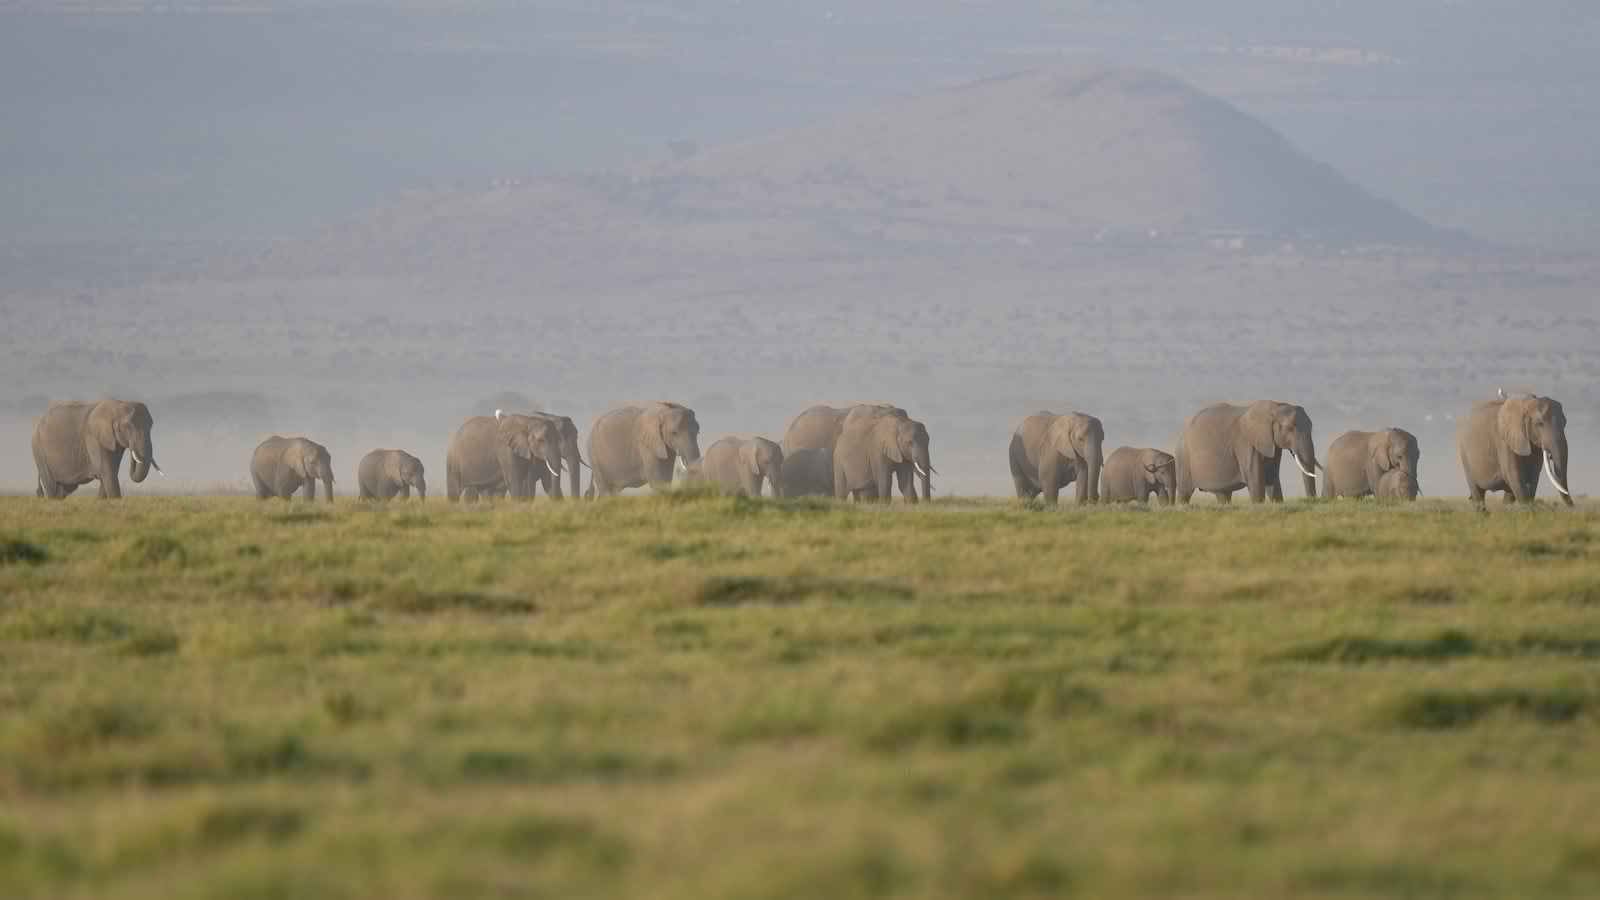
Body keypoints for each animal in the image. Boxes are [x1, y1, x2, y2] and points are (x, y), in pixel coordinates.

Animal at [32, 399, 162, 499]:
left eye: (151, 426)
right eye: (128, 426)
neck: (117, 405)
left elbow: (110, 471)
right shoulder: (93, 437)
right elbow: (106, 470)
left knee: (64, 489)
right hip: (39, 451)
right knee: (51, 486)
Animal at [1174, 401, 1320, 504]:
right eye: (1289, 428)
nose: (1311, 500)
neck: (1275, 406)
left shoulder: (1271, 444)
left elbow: (1272, 478)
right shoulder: (1246, 444)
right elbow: (1255, 479)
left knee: (1223, 494)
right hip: (1183, 458)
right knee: (1184, 492)